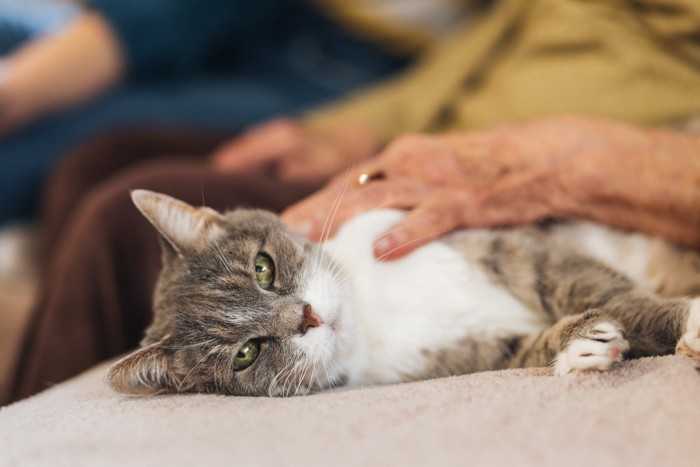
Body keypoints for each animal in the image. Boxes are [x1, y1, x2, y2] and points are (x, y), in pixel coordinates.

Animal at [105, 188, 700, 396]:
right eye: (247, 354)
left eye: (263, 269)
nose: (307, 318)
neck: (374, 313)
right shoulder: (465, 354)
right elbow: (526, 348)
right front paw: (578, 346)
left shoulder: (508, 247)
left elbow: (591, 283)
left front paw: (687, 322)